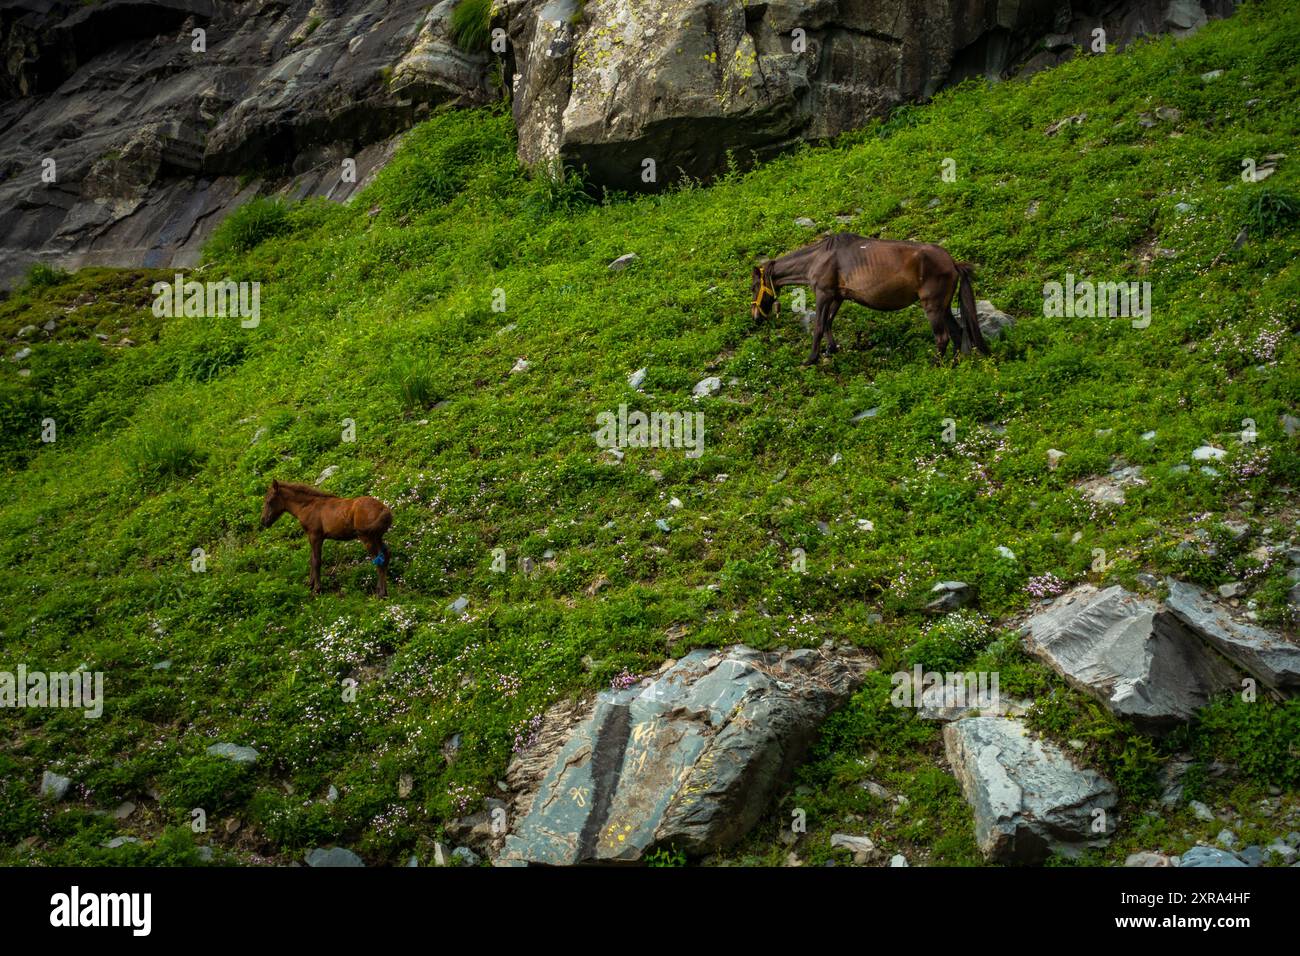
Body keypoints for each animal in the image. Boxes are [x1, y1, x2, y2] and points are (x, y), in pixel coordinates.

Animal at [260, 480, 393, 597]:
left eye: (269, 501)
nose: (263, 521)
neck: (308, 506)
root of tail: (384, 509)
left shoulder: (316, 536)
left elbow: (316, 561)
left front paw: (317, 589)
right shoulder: (311, 536)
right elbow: (311, 559)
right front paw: (310, 584)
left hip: (367, 538)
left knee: (378, 560)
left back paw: (381, 593)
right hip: (377, 537)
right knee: (386, 555)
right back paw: (384, 591)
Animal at [750, 232, 990, 365]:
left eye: (753, 287)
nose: (755, 317)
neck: (819, 257)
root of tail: (953, 263)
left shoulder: (824, 294)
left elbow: (819, 325)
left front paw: (811, 359)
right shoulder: (838, 296)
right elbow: (828, 323)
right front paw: (831, 349)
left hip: (932, 307)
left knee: (942, 337)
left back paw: (935, 364)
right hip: (944, 307)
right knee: (957, 333)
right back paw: (955, 364)